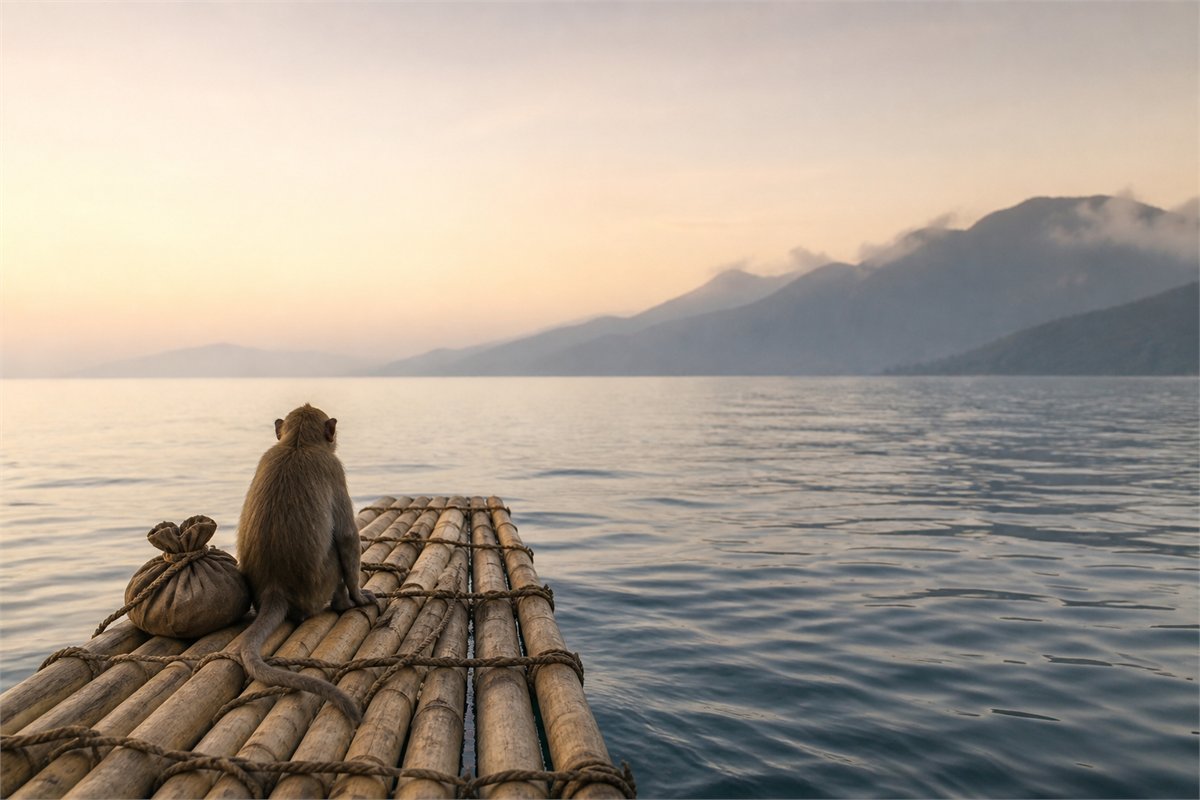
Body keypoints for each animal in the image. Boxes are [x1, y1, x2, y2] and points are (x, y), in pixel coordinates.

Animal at [235, 404, 376, 724]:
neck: (296, 444)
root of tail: (274, 589)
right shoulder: (334, 468)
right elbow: (347, 537)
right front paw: (359, 596)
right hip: (318, 587)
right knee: (337, 553)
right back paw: (343, 603)